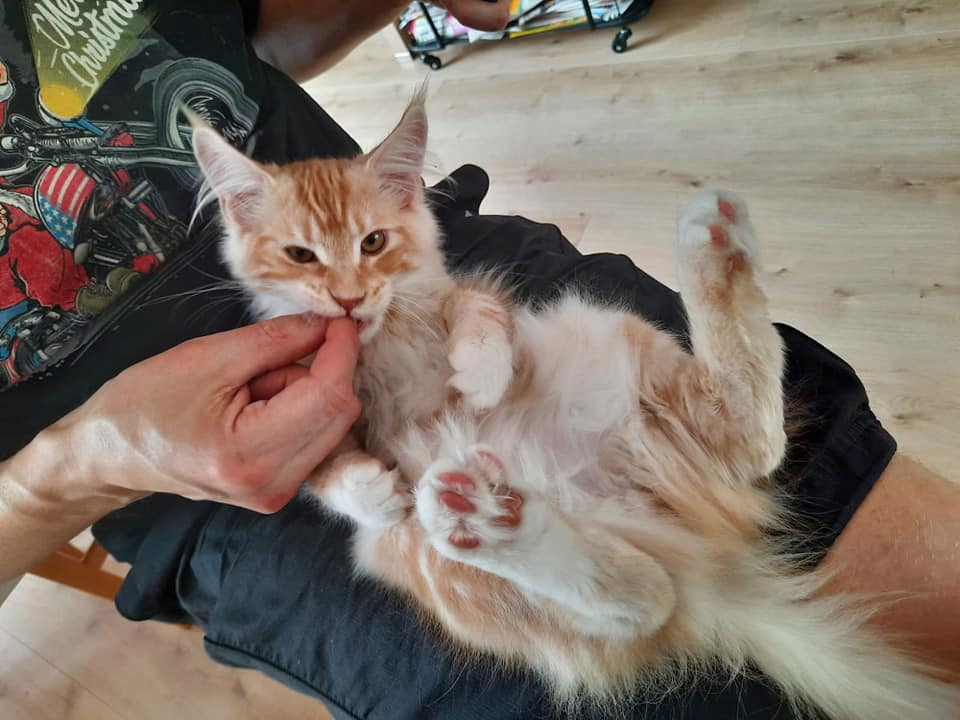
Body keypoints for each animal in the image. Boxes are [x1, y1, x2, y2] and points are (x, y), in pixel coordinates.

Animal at [191, 90, 960, 719]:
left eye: (372, 242)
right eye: (301, 255)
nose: (349, 298)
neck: (380, 343)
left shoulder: (466, 292)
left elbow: (478, 314)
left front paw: (480, 374)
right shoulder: (293, 390)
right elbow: (320, 463)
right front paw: (366, 488)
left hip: (608, 347)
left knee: (735, 460)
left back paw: (712, 248)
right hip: (426, 557)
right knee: (645, 595)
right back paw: (500, 519)